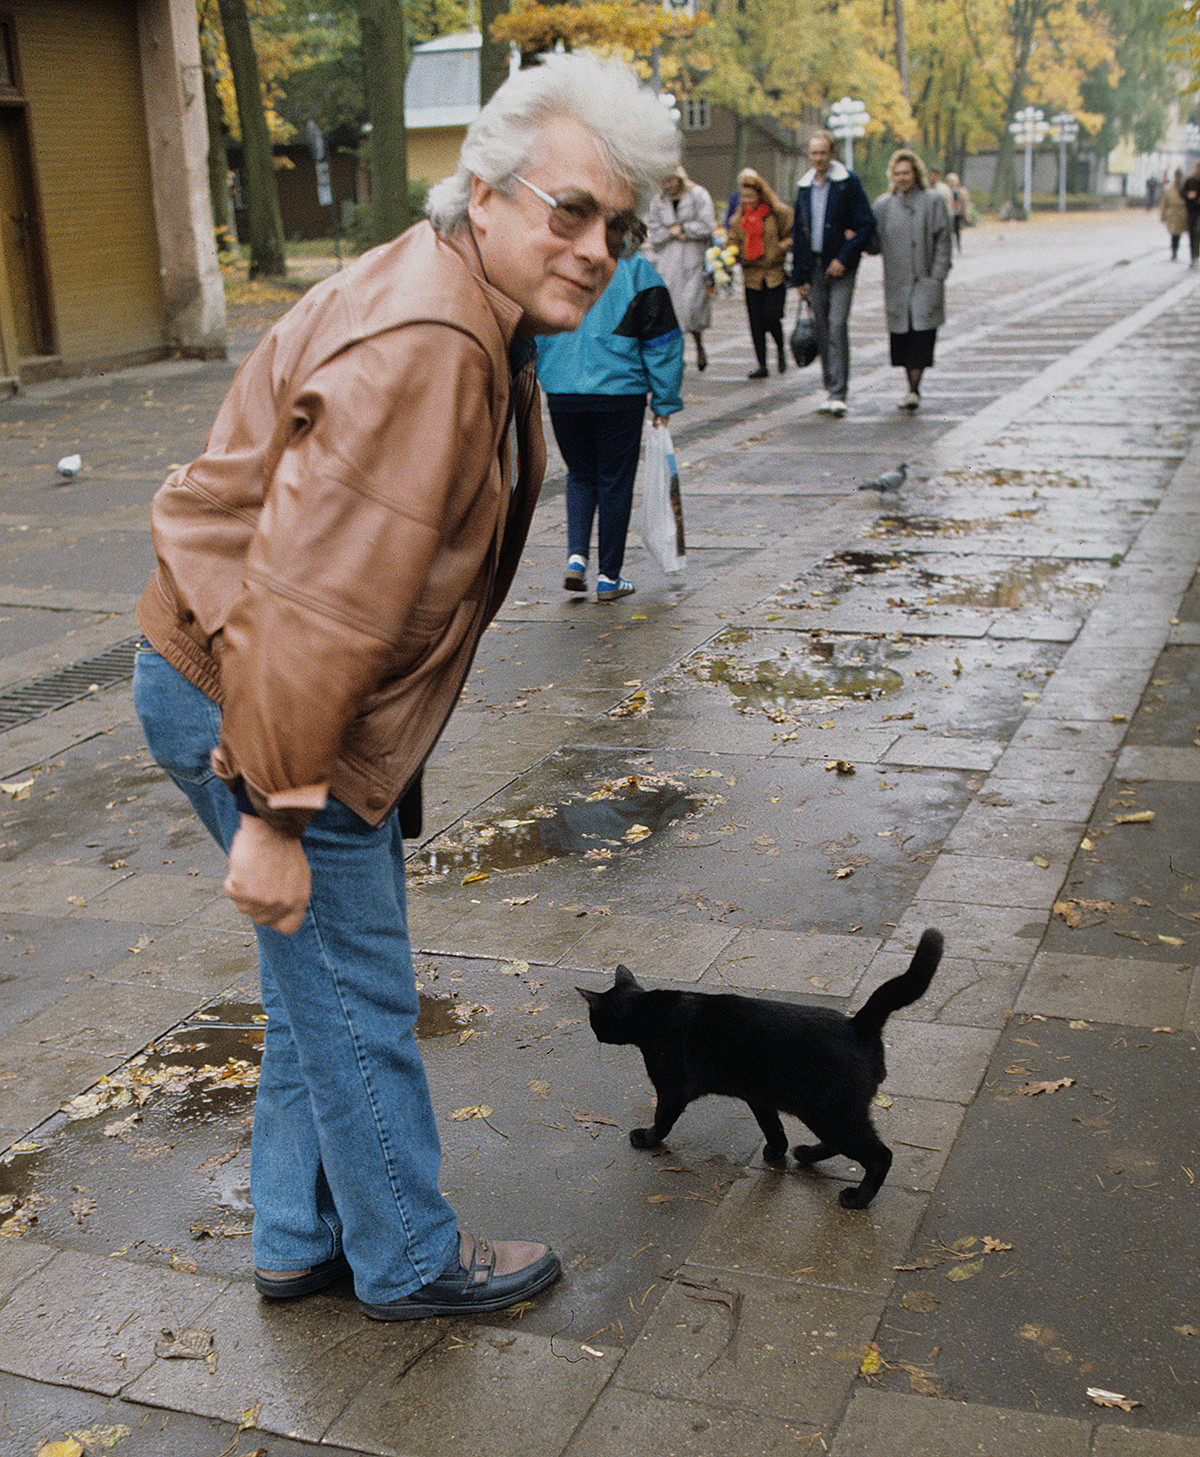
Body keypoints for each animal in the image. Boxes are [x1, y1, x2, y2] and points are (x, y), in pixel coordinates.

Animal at [576, 926, 943, 1212]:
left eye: (594, 1019)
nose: (593, 1034)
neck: (649, 1012)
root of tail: (858, 1025)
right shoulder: (759, 1095)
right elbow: (772, 1127)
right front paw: (776, 1152)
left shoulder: (672, 1089)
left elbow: (662, 1121)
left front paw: (647, 1138)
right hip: (833, 1113)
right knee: (845, 1143)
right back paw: (807, 1153)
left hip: (830, 1113)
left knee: (880, 1155)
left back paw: (858, 1198)